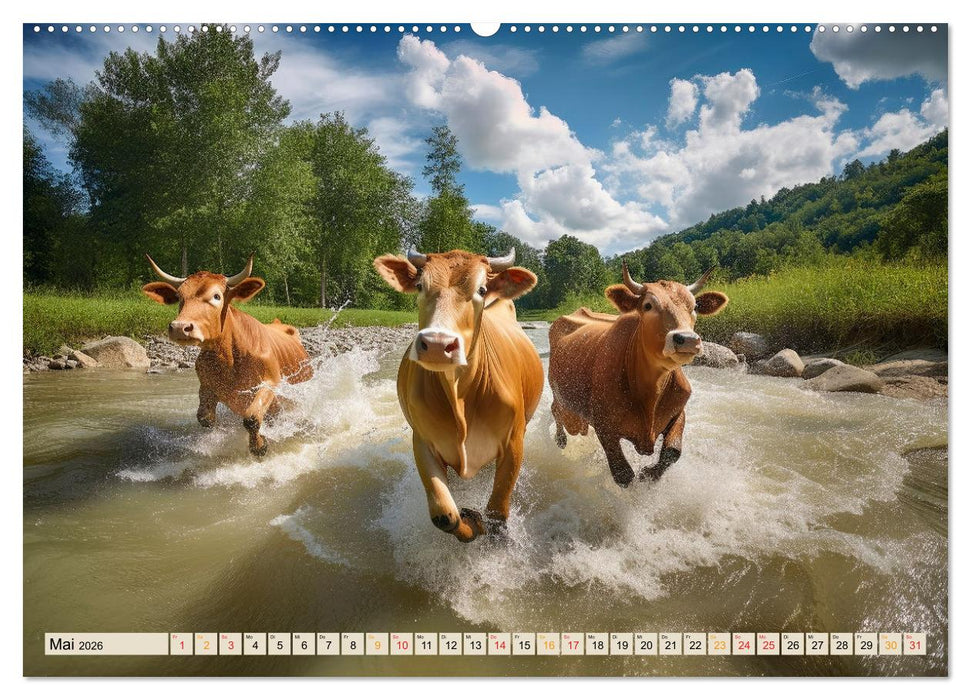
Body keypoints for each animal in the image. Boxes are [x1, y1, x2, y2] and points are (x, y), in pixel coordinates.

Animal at [141, 254, 313, 456]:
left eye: (217, 296)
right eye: (179, 297)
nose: (179, 327)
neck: (229, 360)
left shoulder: (270, 382)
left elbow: (251, 418)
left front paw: (259, 446)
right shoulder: (208, 386)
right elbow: (205, 418)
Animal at [373, 248, 544, 543]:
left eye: (482, 289)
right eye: (420, 286)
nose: (437, 344)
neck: (460, 395)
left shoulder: (514, 441)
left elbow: (497, 514)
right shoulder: (423, 441)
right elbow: (445, 515)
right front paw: (470, 522)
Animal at [548, 262, 728, 487]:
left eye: (695, 306)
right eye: (648, 305)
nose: (687, 339)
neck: (650, 392)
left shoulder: (678, 412)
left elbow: (672, 452)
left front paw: (649, 475)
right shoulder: (603, 424)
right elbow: (623, 474)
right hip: (562, 401)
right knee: (555, 411)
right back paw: (560, 440)